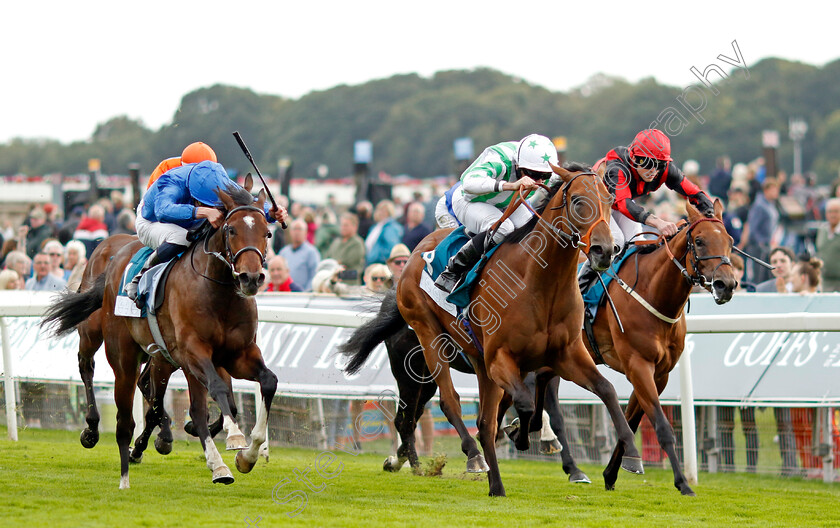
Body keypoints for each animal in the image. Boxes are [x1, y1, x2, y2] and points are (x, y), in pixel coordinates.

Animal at [42, 184, 278, 488]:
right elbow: (214, 395)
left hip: (160, 356)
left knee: (150, 389)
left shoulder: (237, 354)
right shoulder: (194, 352)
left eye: (267, 233)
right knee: (88, 366)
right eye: (231, 230)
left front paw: (247, 456)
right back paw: (93, 429)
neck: (219, 293)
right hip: (102, 338)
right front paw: (233, 441)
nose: (251, 278)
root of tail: (113, 254)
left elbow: (266, 383)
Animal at [342, 163, 644, 498]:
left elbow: (605, 390)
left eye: (609, 200)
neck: (540, 283)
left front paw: (631, 455)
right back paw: (469, 457)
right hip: (426, 339)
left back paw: (493, 484)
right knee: (446, 403)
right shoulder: (502, 359)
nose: (606, 250)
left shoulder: (565, 356)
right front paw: (522, 437)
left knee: (466, 420)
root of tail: (413, 256)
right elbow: (525, 404)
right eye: (578, 201)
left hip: (465, 363)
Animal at [516, 198, 740, 496]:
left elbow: (632, 420)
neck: (653, 292)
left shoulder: (659, 373)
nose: (726, 285)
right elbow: (661, 426)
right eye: (700, 241)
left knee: (542, 383)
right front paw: (682, 483)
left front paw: (614, 471)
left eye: (730, 241)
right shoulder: (638, 365)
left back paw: (553, 446)